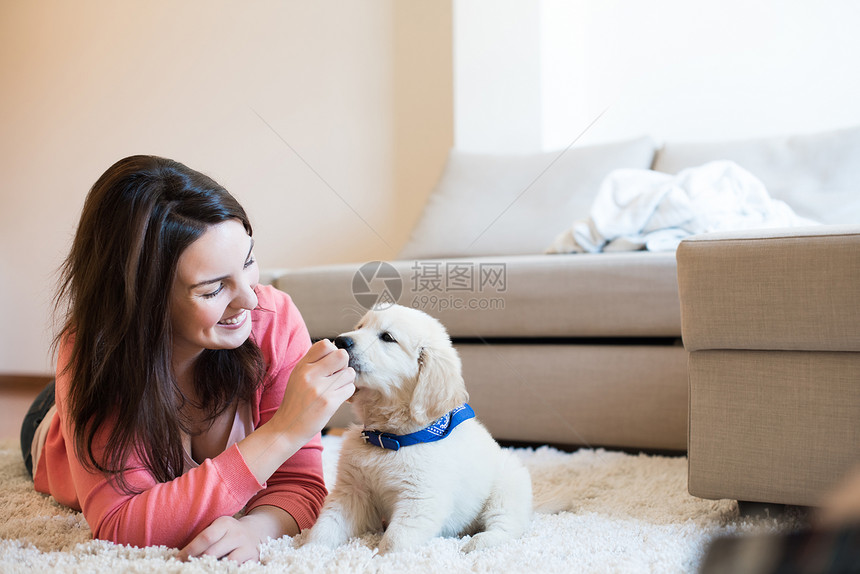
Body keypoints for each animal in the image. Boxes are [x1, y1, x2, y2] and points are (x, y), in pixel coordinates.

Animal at [302, 304, 532, 556]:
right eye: (360, 326)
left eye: (387, 337)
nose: (341, 341)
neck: (389, 439)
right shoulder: (352, 491)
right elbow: (327, 525)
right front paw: (309, 552)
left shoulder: (420, 500)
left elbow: (394, 541)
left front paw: (381, 560)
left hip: (507, 488)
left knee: (507, 526)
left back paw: (478, 542)